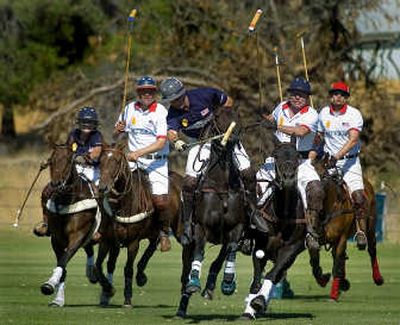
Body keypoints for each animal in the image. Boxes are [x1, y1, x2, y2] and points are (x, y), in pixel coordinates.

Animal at [39, 143, 100, 306]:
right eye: (51, 161)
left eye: (68, 161)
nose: (55, 185)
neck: (67, 200)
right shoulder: (56, 239)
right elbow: (63, 264)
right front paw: (58, 299)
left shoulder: (77, 236)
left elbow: (64, 259)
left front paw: (49, 285)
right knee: (89, 248)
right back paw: (92, 273)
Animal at [242, 142, 304, 318]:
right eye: (276, 156)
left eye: (298, 155)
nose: (288, 177)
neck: (282, 215)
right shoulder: (260, 247)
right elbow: (256, 281)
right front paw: (249, 309)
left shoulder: (291, 249)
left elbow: (272, 274)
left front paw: (258, 302)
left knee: (277, 274)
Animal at [310, 156, 384, 300]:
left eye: (323, 176)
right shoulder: (316, 239)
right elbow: (315, 261)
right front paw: (324, 279)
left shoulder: (342, 238)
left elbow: (338, 261)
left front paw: (334, 293)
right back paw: (343, 283)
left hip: (371, 226)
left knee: (372, 249)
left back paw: (378, 278)